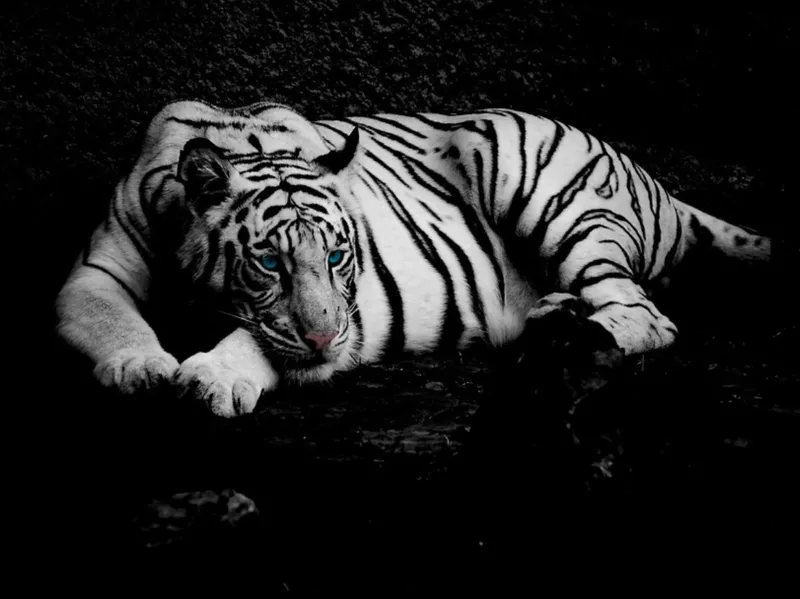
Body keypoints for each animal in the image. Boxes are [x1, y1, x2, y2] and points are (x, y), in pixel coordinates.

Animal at [54, 99, 773, 418]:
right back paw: (549, 315)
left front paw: (213, 375)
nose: (326, 338)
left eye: (339, 254)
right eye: (269, 264)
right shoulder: (95, 272)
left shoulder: (358, 304)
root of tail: (657, 183)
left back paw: (567, 335)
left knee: (644, 316)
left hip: (543, 186)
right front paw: (141, 365)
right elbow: (109, 315)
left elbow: (261, 337)